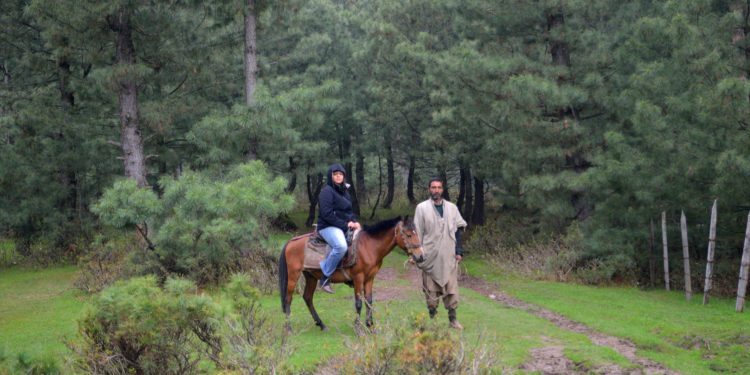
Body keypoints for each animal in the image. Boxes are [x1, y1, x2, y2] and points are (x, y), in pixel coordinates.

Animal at [280, 217, 426, 332]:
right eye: (408, 235)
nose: (421, 256)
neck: (369, 246)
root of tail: (291, 242)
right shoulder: (358, 278)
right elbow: (359, 303)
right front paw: (358, 328)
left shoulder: (370, 278)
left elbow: (369, 301)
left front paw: (370, 326)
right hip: (293, 275)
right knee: (288, 299)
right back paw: (288, 328)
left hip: (310, 276)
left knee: (308, 297)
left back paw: (321, 324)